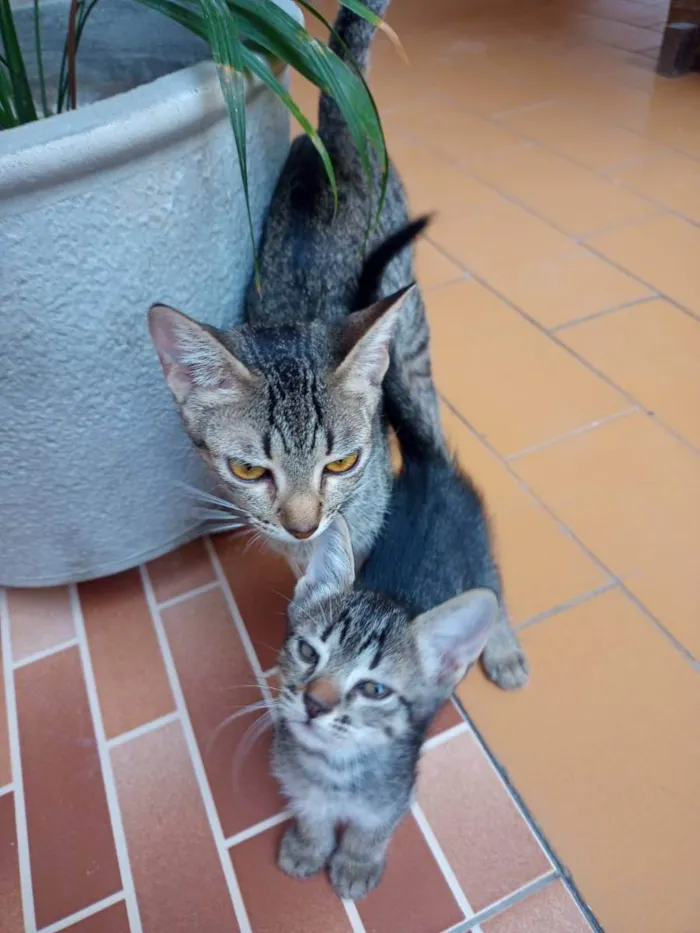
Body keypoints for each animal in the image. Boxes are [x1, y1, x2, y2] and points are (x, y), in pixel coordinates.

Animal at [270, 374, 528, 900]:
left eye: (374, 689)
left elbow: (370, 830)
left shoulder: (393, 796)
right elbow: (310, 813)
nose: (314, 703)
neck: (333, 770)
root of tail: (431, 466)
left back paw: (504, 652)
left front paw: (355, 864)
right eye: (307, 651)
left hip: (482, 561)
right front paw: (307, 846)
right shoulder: (298, 783)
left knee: (497, 601)